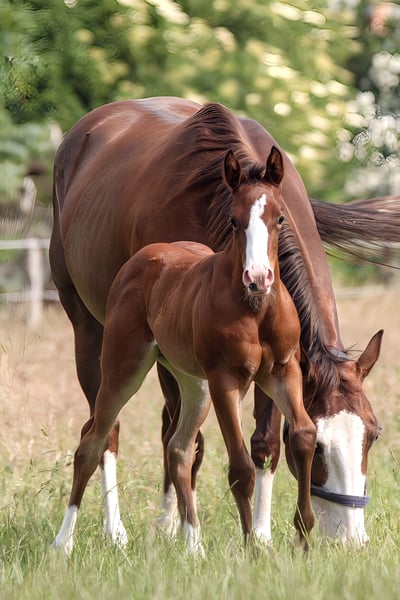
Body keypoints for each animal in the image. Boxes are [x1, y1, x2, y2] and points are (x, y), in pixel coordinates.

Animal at [50, 97, 383, 551]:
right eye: (321, 449)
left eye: (374, 434)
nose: (352, 538)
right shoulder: (187, 361)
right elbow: (189, 441)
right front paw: (177, 529)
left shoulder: (277, 367)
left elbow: (263, 444)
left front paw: (262, 534)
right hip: (97, 336)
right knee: (107, 431)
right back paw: (115, 530)